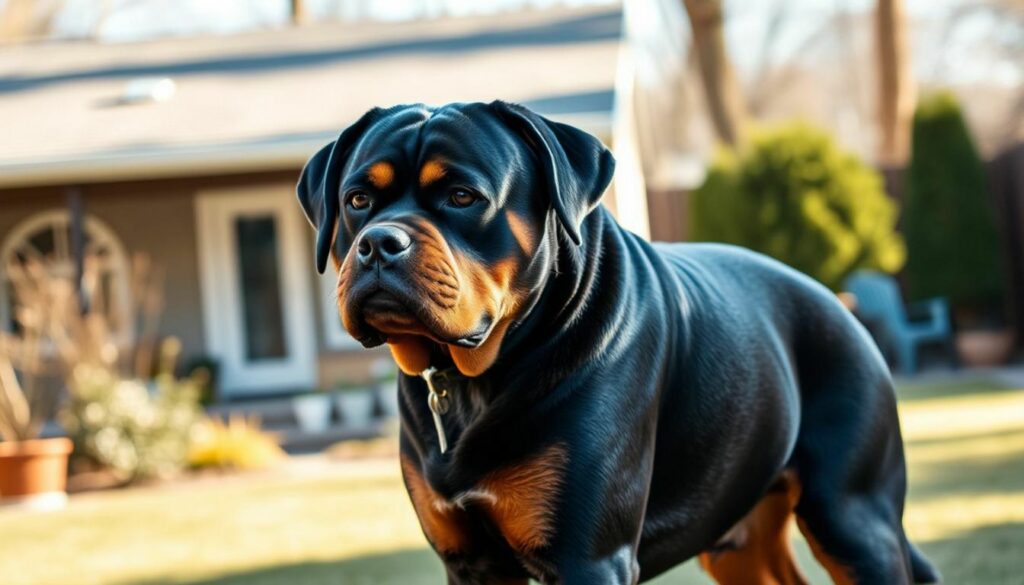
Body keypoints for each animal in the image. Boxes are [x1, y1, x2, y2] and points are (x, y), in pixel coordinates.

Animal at [294, 102, 937, 581]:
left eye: (461, 196)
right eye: (357, 200)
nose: (379, 243)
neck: (478, 375)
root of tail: (841, 306)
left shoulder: (589, 556)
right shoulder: (470, 562)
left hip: (852, 514)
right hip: (740, 539)